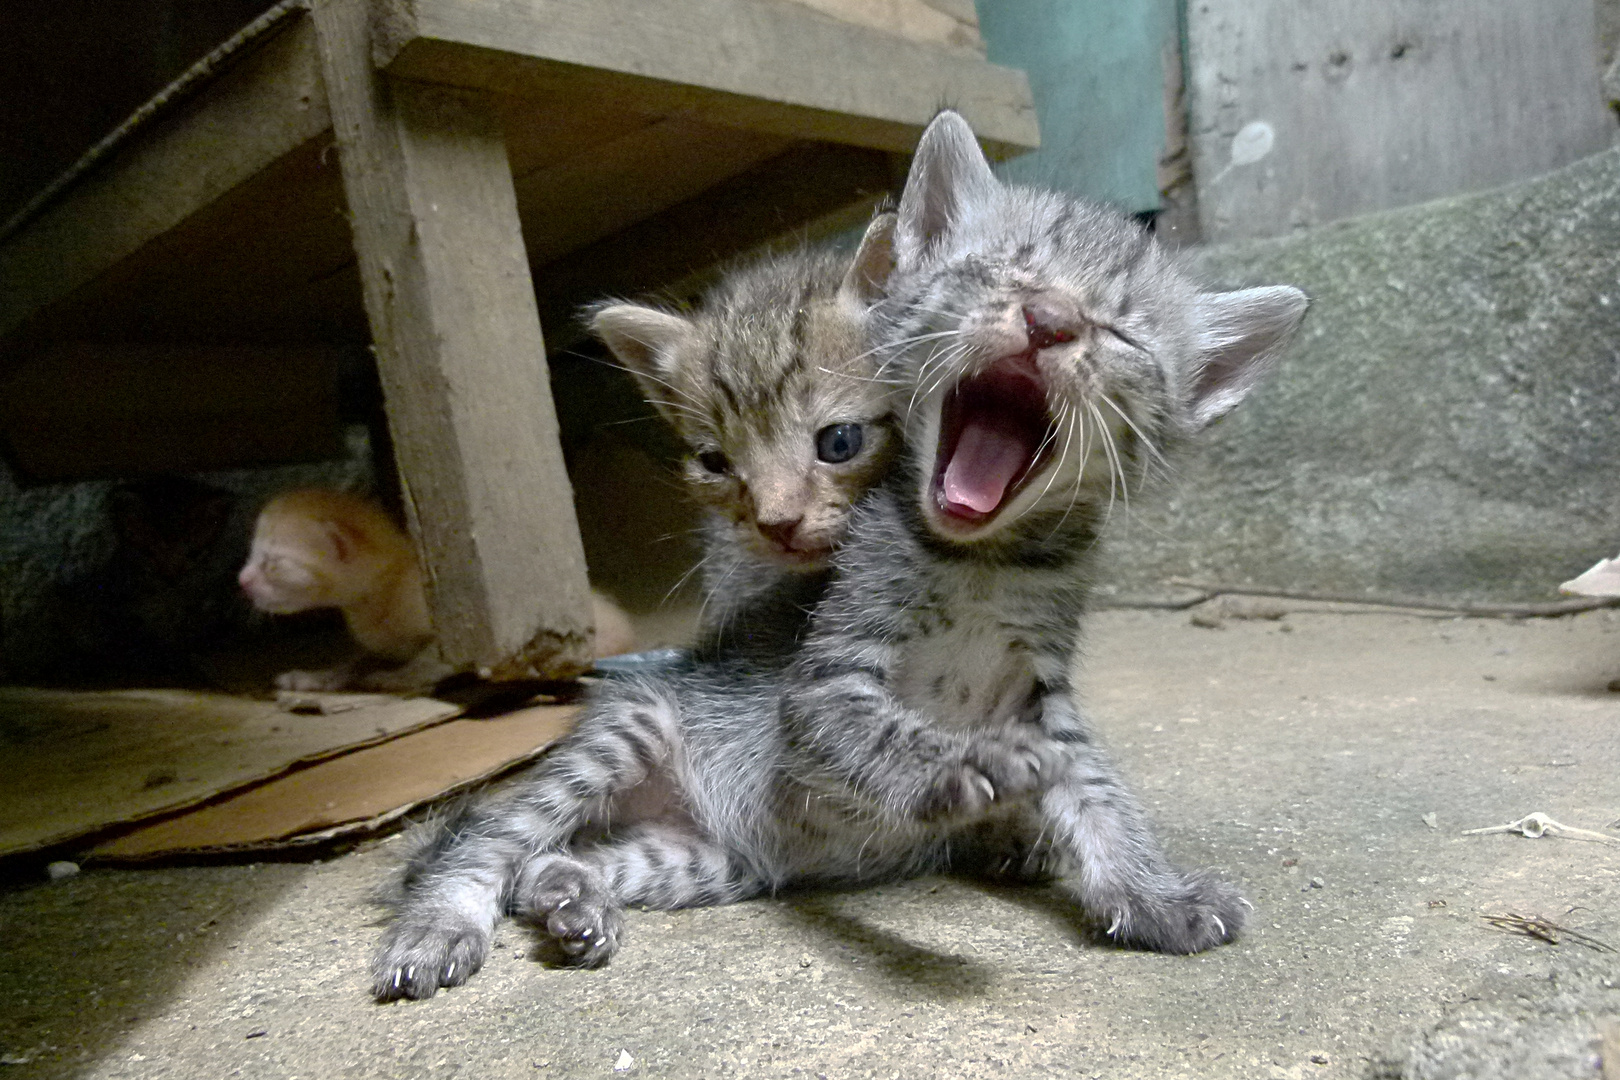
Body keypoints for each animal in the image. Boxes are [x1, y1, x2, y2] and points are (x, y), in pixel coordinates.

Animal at [370, 111, 1302, 1003]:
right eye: (999, 276)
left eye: (1120, 332)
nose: (1049, 321)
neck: (983, 560)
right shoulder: (825, 684)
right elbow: (888, 735)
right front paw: (964, 764)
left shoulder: (1047, 694)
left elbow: (1101, 796)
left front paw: (1152, 893)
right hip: (625, 736)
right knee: (492, 837)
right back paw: (440, 925)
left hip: (697, 862)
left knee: (557, 859)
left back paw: (571, 900)